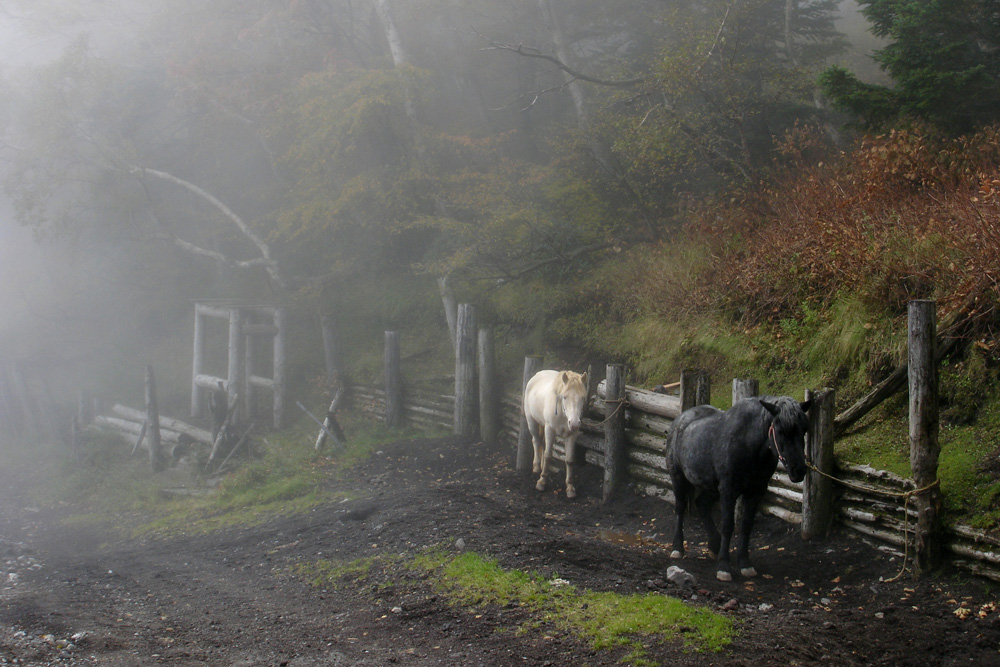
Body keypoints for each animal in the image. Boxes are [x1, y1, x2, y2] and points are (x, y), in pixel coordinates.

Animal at [664, 400, 812, 580]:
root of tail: (679, 421)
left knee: (702, 504)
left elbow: (747, 525)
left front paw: (745, 563)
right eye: (780, 430)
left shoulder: (755, 492)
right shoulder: (729, 491)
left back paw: (714, 545)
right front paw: (723, 567)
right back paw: (678, 548)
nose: (798, 470)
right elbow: (728, 525)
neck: (749, 444)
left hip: (711, 486)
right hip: (679, 478)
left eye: (804, 429)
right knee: (680, 508)